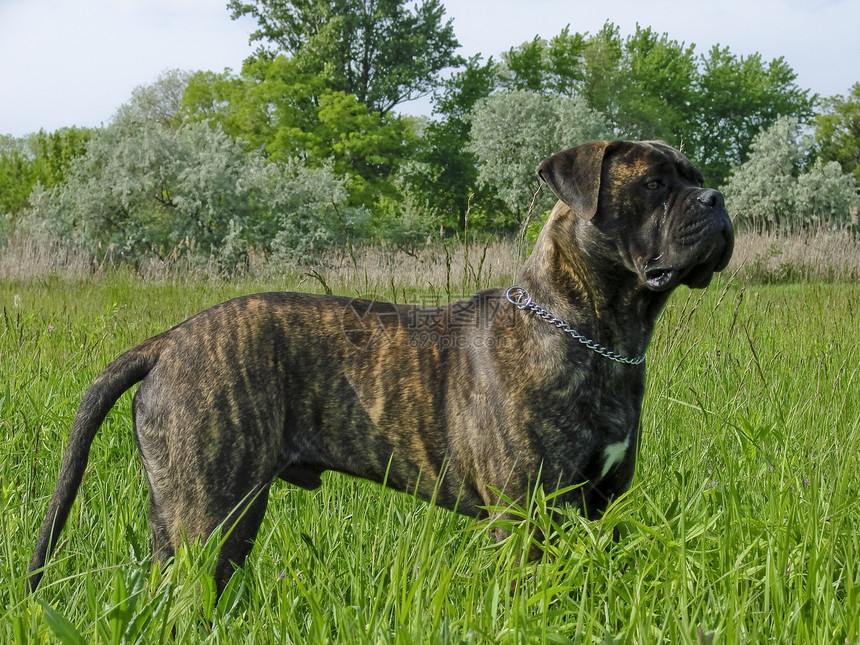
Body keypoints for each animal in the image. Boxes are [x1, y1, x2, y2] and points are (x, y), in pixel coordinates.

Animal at [26, 141, 732, 592]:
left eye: (694, 173)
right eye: (654, 184)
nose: (717, 198)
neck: (594, 333)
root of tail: (168, 340)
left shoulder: (603, 504)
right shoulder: (528, 515)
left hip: (211, 519)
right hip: (205, 513)